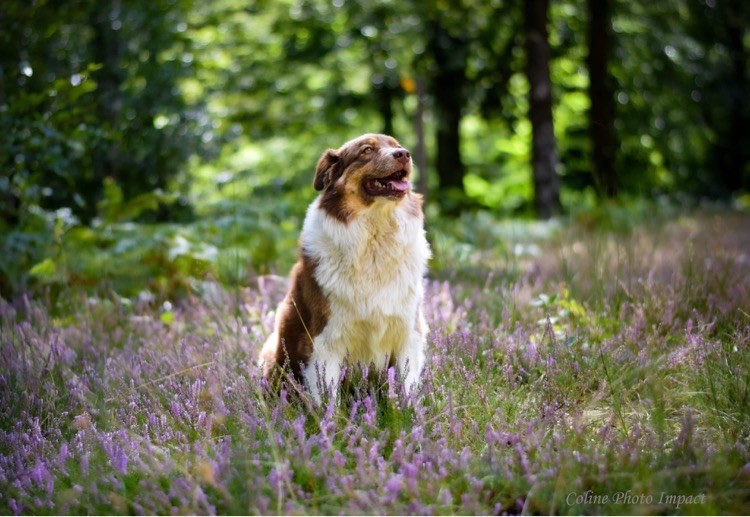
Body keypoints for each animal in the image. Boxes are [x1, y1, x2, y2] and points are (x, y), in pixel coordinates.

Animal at [260, 134, 432, 404]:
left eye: (397, 145)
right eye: (367, 150)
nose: (404, 154)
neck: (375, 238)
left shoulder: (408, 332)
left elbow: (407, 390)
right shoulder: (325, 340)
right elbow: (328, 398)